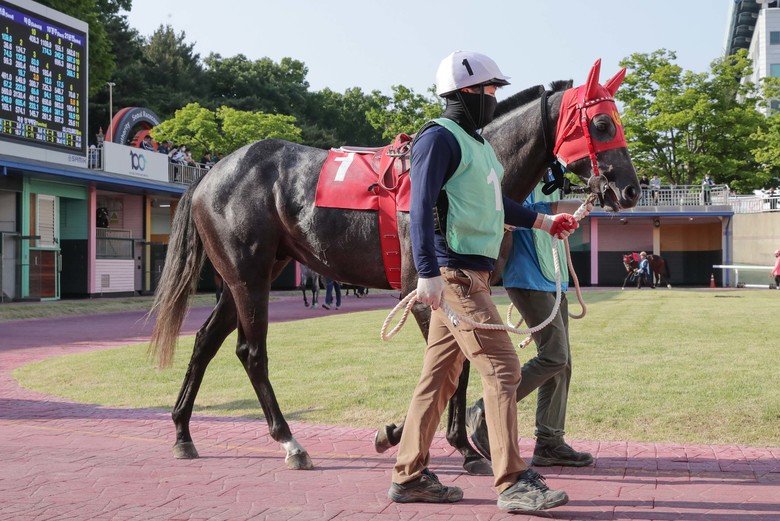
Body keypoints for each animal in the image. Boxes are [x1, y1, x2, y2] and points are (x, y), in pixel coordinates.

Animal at [148, 59, 640, 475]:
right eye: (602, 124)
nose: (632, 190)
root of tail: (210, 175)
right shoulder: (426, 296)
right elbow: (452, 372)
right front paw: (450, 444)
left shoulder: (468, 292)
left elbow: (457, 369)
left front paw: (429, 437)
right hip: (249, 278)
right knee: (251, 353)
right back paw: (290, 442)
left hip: (246, 277)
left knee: (205, 342)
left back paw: (182, 432)